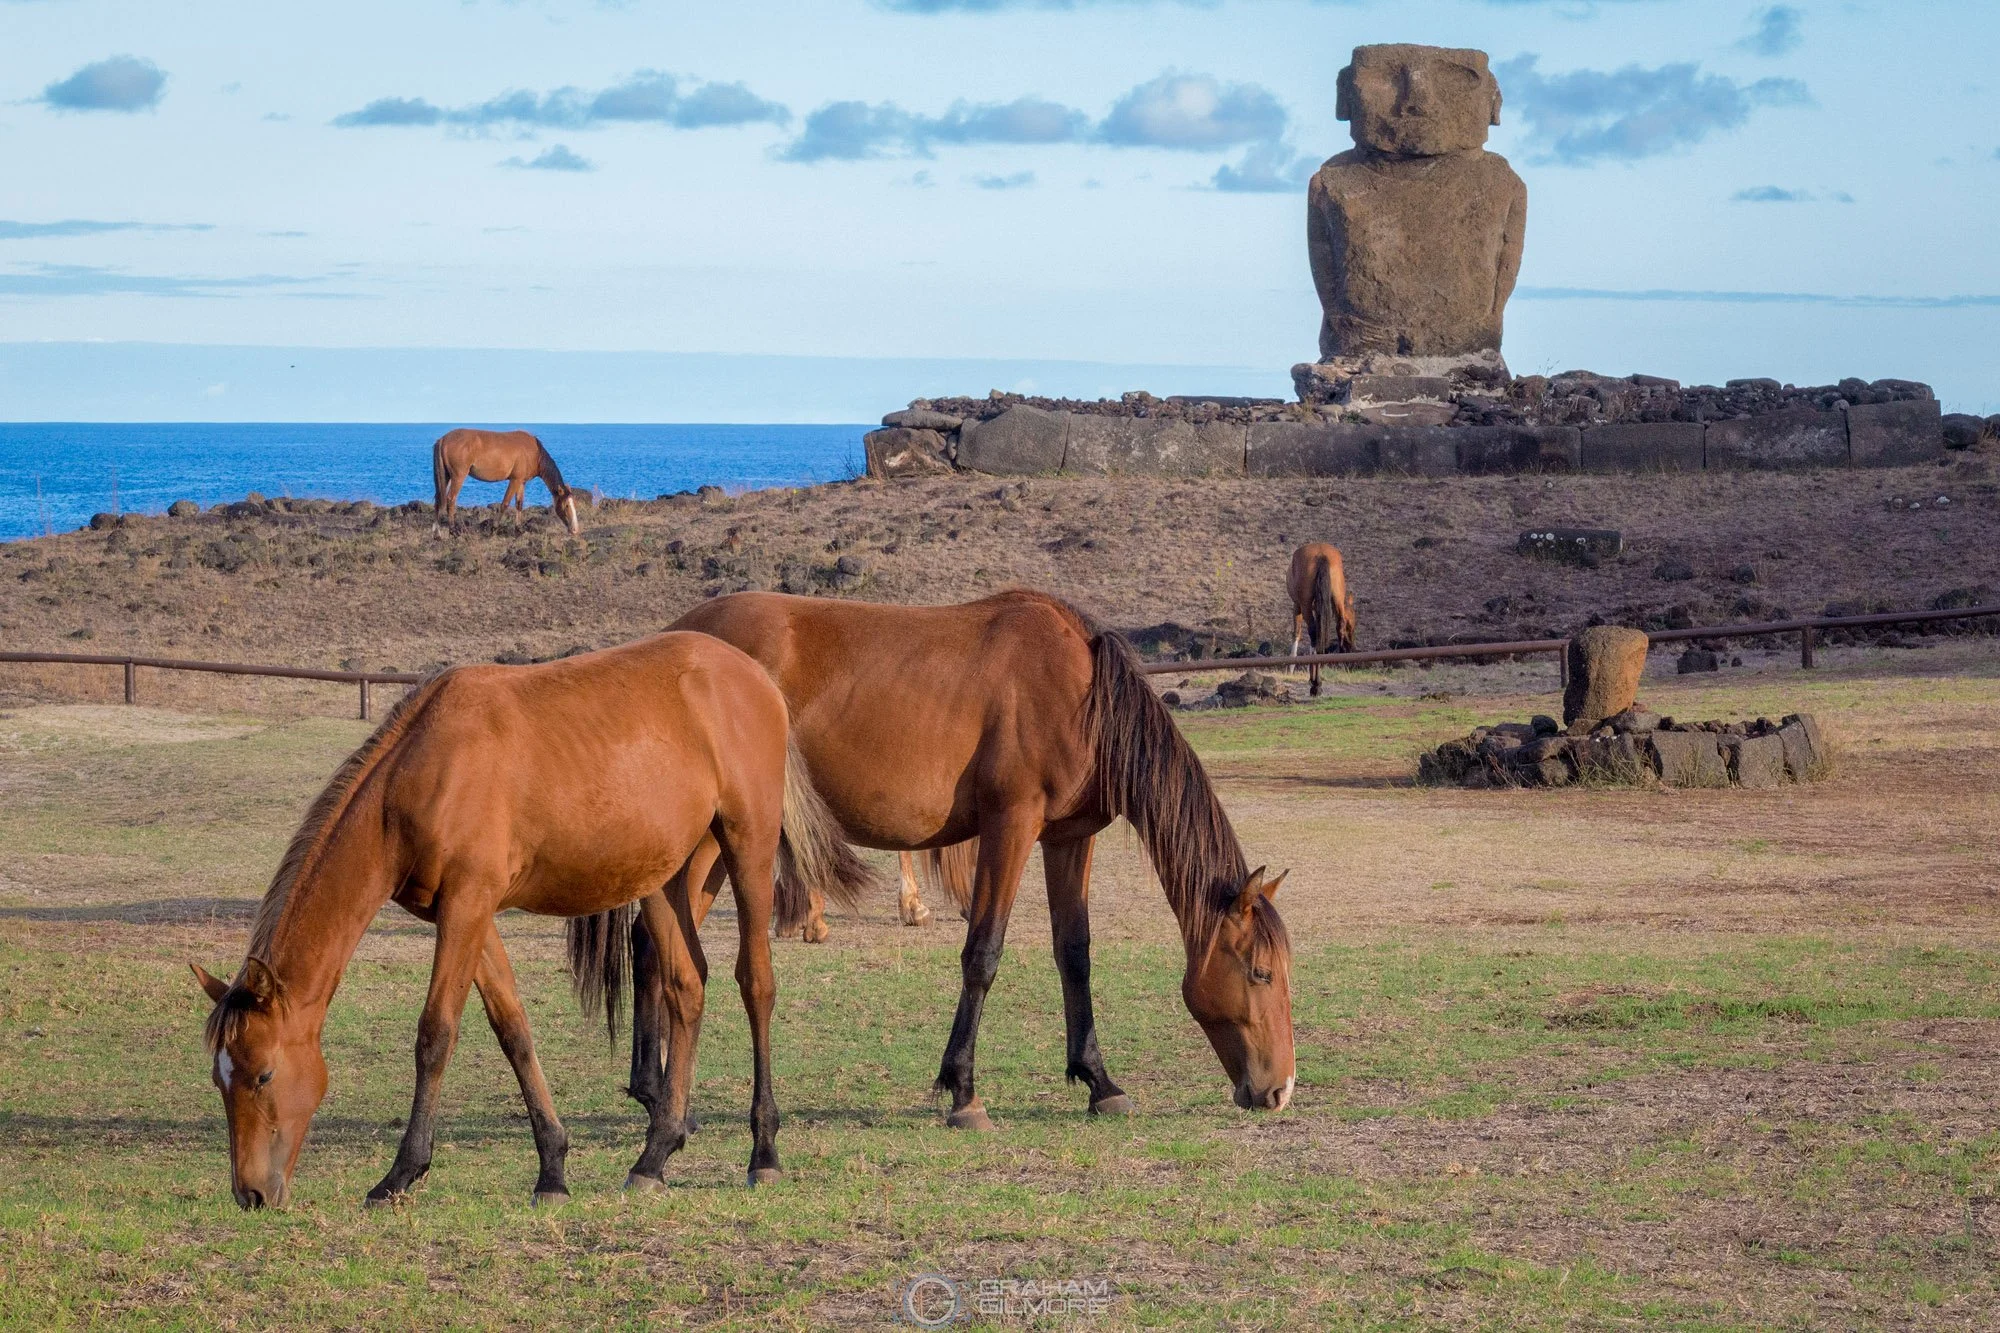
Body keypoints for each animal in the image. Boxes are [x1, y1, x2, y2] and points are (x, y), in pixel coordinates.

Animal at [190, 631, 863, 1209]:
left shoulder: (467, 905)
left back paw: (763, 1152)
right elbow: (512, 1029)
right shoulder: (469, 914)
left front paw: (400, 1173)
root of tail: (754, 677)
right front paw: (553, 1169)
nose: (251, 1194)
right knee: (686, 986)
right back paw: (654, 1156)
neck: (424, 770)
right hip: (666, 878)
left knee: (756, 983)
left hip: (748, 847)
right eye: (221, 1081)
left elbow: (435, 1034)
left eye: (263, 1075)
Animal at [431, 428, 582, 536]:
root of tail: (443, 439)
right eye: (566, 506)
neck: (535, 453)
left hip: (446, 476)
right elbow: (505, 503)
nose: (575, 530)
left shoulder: (521, 482)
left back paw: (437, 532)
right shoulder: (514, 480)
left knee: (439, 499)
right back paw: (452, 530)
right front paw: (494, 528)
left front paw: (519, 529)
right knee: (450, 499)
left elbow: (519, 504)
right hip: (458, 476)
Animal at [573, 590, 1296, 1135]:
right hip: (709, 842)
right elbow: (984, 954)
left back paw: (657, 1091)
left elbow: (1075, 953)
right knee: (654, 943)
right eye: (1260, 972)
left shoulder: (1068, 837)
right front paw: (963, 1091)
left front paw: (1099, 1081)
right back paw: (658, 1093)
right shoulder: (1011, 826)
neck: (1080, 692)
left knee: (653, 943)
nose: (1281, 1088)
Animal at [1287, 542, 1358, 697]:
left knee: (1314, 634)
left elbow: (1296, 633)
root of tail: (1321, 554)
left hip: (1306, 606)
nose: (1351, 647)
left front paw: (1291, 667)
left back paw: (1315, 683)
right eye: (1351, 625)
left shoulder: (1297, 606)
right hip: (1336, 598)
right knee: (1337, 626)